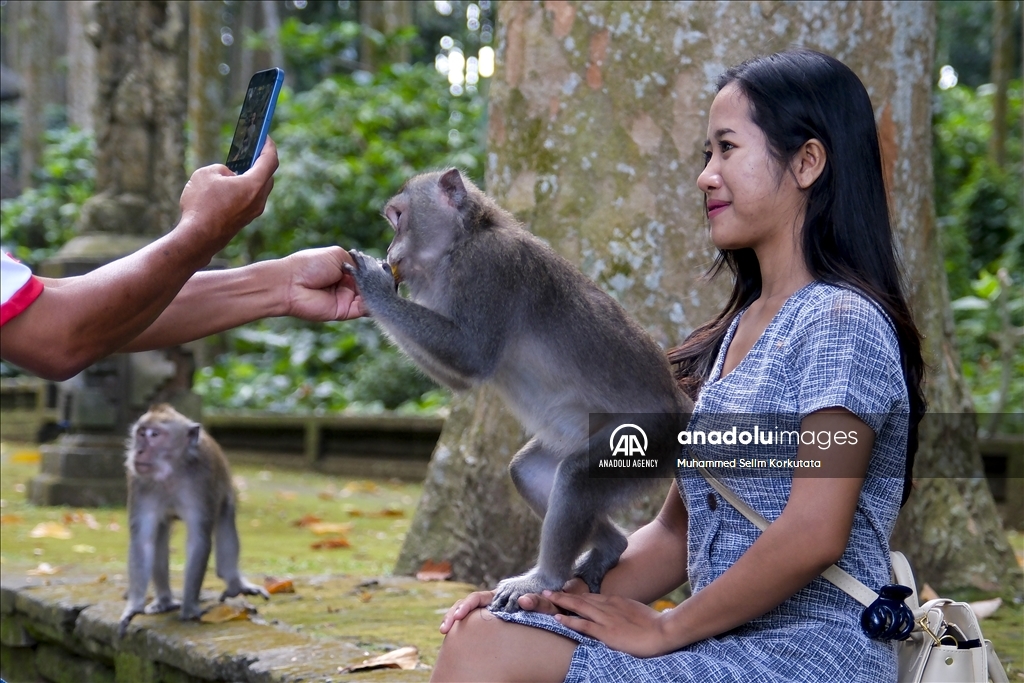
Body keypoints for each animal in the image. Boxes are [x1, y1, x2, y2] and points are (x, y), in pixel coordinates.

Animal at [117, 405, 268, 634]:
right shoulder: (138, 481)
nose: (139, 451)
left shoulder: (202, 480)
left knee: (225, 521)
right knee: (159, 536)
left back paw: (234, 583)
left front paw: (189, 609)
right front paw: (134, 606)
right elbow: (142, 542)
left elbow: (199, 541)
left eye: (155, 435)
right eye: (141, 433)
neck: (171, 472)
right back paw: (164, 601)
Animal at [348, 169, 692, 614]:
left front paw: (374, 287)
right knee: (530, 472)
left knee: (577, 477)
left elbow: (471, 356)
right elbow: (462, 377)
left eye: (398, 217)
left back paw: (544, 580)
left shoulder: (490, 267)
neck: (463, 241)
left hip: (650, 437)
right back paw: (609, 546)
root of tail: (682, 404)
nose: (390, 249)